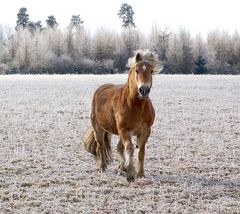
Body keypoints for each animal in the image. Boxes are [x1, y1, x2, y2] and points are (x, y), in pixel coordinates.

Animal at [83, 49, 162, 181]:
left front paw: (140, 174)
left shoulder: (145, 131)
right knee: (101, 146)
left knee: (119, 147)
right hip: (99, 129)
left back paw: (121, 168)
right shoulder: (125, 130)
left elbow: (141, 152)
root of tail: (101, 88)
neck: (137, 106)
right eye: (137, 70)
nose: (144, 90)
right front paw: (130, 173)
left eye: (151, 71)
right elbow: (130, 148)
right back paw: (103, 168)